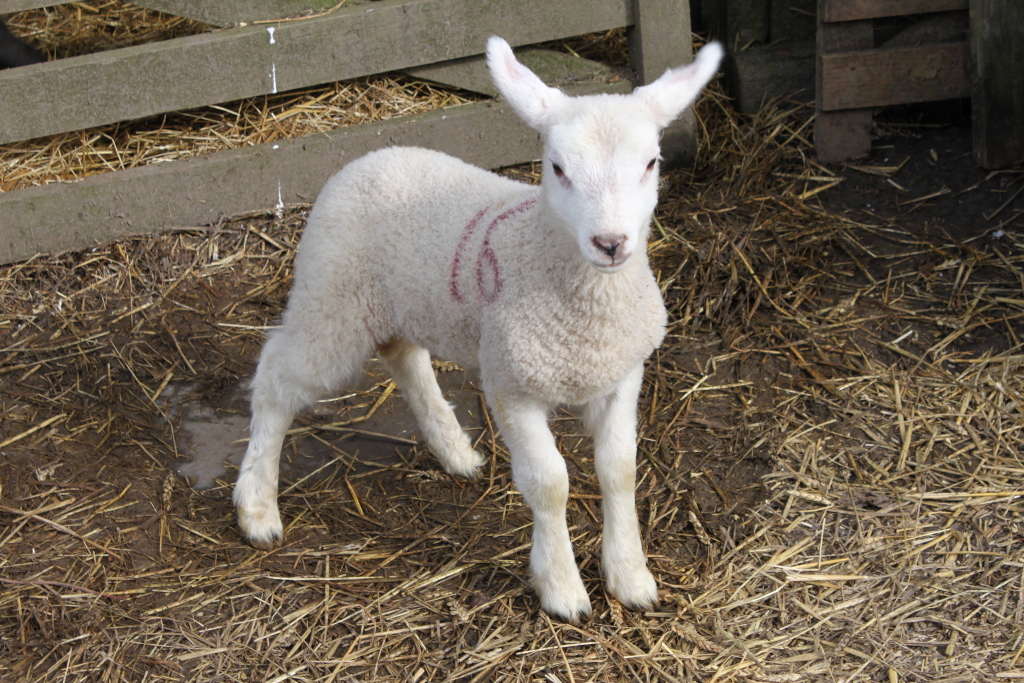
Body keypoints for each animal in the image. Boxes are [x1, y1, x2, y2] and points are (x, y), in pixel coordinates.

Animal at [233, 36, 723, 622]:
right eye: (557, 168)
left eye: (651, 163)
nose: (610, 243)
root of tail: (370, 155)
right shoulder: (512, 385)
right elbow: (550, 483)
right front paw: (562, 588)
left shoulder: (621, 373)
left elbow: (619, 470)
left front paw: (630, 577)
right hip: (332, 300)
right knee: (277, 379)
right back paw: (257, 506)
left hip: (404, 302)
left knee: (405, 359)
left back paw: (455, 451)